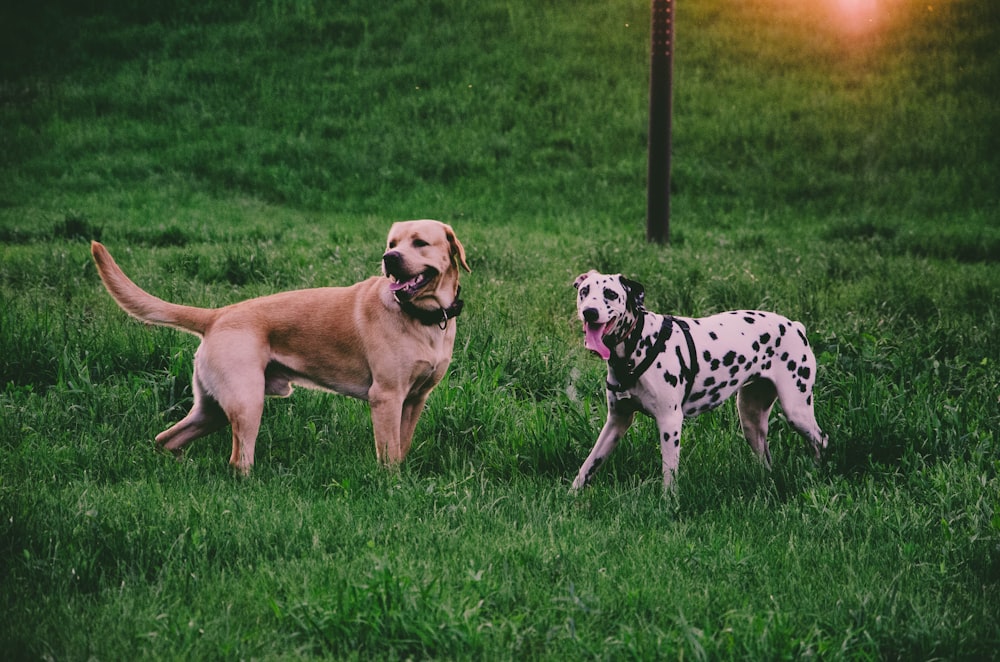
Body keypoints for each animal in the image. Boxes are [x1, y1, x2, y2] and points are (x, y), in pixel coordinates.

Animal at [92, 220, 470, 474]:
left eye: (419, 242)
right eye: (393, 242)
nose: (389, 257)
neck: (423, 318)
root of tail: (217, 315)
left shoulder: (415, 399)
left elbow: (402, 447)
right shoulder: (386, 397)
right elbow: (389, 455)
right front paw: (391, 484)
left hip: (212, 409)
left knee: (166, 438)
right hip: (247, 403)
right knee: (238, 460)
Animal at [572, 272, 828, 492]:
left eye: (610, 293)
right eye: (585, 291)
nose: (589, 312)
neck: (639, 343)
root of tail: (795, 326)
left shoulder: (670, 423)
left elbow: (669, 474)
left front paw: (668, 502)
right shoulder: (616, 422)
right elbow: (588, 464)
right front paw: (573, 494)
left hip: (797, 412)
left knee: (820, 441)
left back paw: (818, 473)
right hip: (751, 419)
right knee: (765, 457)